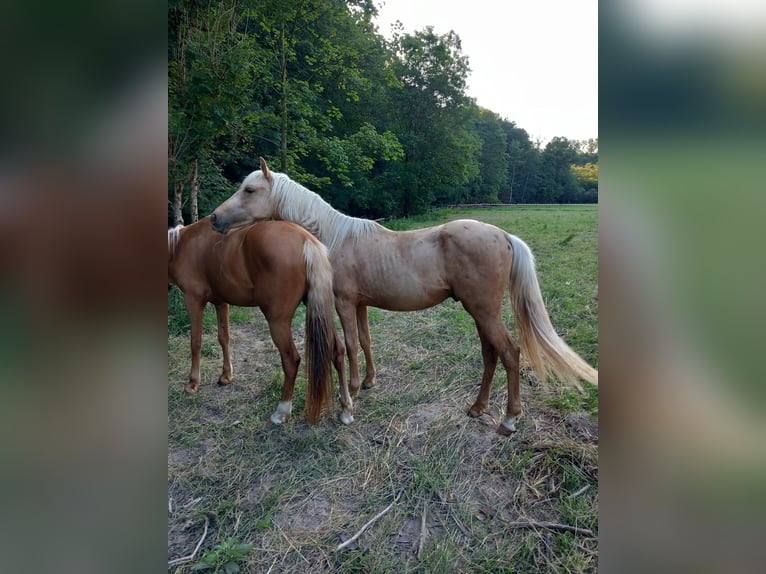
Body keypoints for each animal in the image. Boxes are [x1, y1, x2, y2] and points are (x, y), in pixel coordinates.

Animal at [171, 218, 344, 426]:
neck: (181, 245)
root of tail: (306, 240)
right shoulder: (221, 302)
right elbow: (224, 337)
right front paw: (226, 376)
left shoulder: (193, 300)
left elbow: (196, 342)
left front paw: (193, 383)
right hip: (319, 309)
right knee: (338, 350)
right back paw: (347, 408)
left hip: (278, 322)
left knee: (291, 361)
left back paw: (282, 412)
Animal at [212, 158, 600, 436]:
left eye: (249, 189)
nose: (215, 218)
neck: (334, 238)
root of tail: (503, 235)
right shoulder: (361, 305)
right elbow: (365, 341)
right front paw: (368, 383)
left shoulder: (344, 303)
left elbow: (349, 346)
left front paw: (349, 403)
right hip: (479, 312)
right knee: (490, 354)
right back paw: (477, 408)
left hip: (484, 311)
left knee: (509, 353)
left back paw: (508, 420)